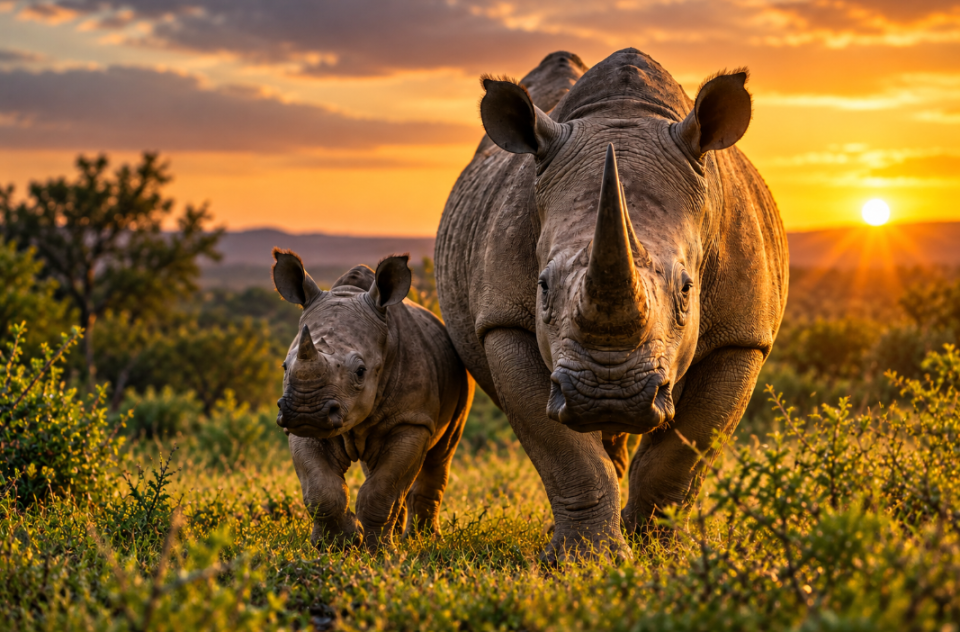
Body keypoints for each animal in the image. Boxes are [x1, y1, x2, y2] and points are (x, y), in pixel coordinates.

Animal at [272, 250, 474, 551]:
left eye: (360, 371)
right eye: (285, 367)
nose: (307, 411)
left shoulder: (412, 421)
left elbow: (383, 488)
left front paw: (378, 550)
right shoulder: (301, 429)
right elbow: (321, 488)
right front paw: (336, 544)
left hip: (463, 377)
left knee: (441, 454)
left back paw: (423, 540)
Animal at [436, 49, 787, 562]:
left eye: (687, 290)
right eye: (542, 287)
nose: (609, 394)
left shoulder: (743, 335)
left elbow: (684, 450)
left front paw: (660, 550)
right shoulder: (503, 322)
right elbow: (564, 450)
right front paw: (586, 559)